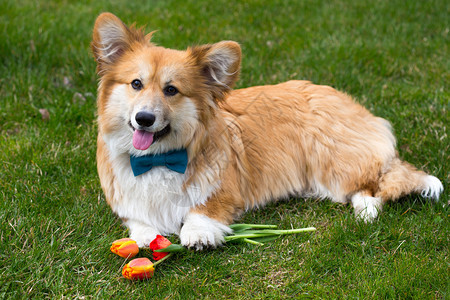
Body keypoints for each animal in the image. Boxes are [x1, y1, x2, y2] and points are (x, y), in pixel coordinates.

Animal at [90, 12, 442, 248]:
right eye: (136, 84)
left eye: (171, 90)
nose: (144, 119)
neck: (159, 158)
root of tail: (350, 103)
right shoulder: (128, 199)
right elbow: (139, 221)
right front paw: (146, 236)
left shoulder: (225, 190)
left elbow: (203, 210)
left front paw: (198, 233)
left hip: (331, 160)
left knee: (372, 183)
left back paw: (367, 210)